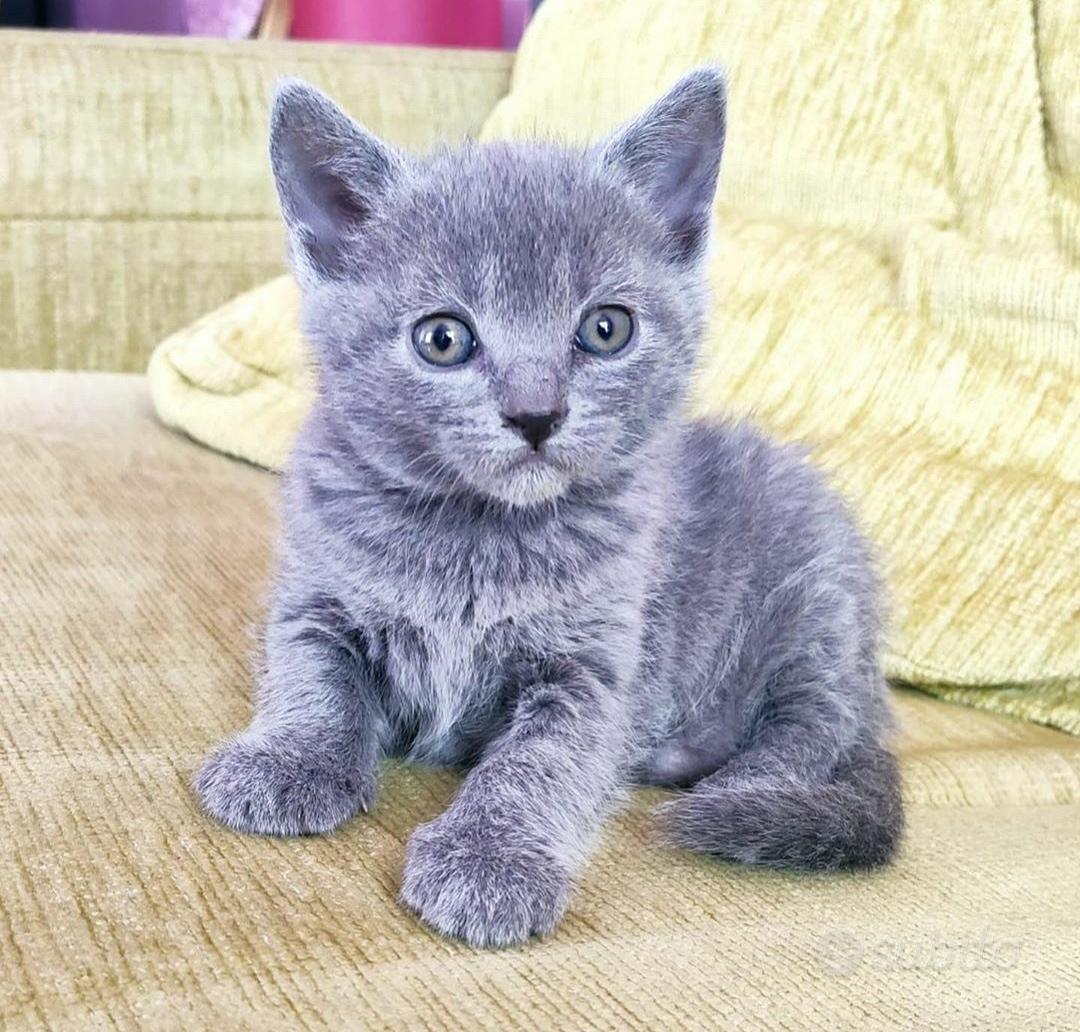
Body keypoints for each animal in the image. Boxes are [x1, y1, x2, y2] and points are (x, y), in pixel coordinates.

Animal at [194, 68, 902, 945]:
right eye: (443, 339)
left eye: (606, 329)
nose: (536, 413)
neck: (477, 534)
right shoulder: (315, 592)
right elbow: (310, 673)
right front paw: (288, 759)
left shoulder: (598, 663)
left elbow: (544, 761)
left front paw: (490, 859)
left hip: (816, 589)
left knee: (818, 727)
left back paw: (733, 783)